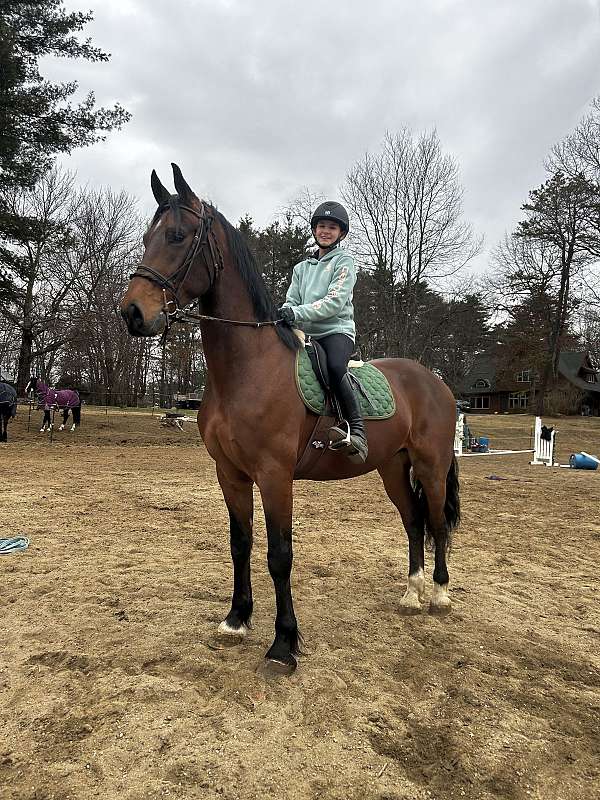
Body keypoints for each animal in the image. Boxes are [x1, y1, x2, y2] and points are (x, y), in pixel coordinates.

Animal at [120, 164, 460, 676]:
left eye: (178, 236)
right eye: (146, 237)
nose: (133, 313)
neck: (248, 368)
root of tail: (434, 379)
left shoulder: (275, 475)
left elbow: (280, 555)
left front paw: (283, 644)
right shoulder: (230, 473)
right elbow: (240, 543)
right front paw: (236, 619)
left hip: (431, 465)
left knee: (437, 521)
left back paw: (438, 594)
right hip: (392, 467)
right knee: (413, 521)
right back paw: (411, 594)